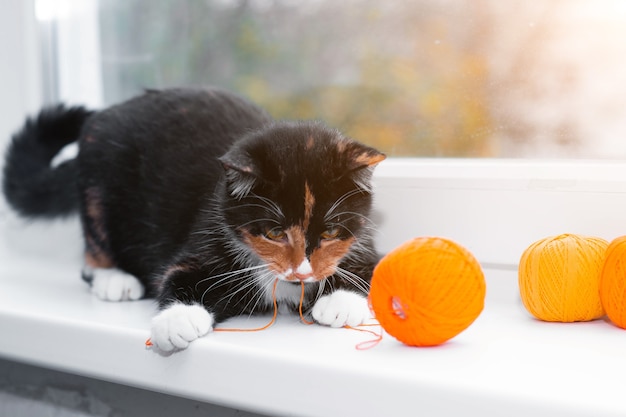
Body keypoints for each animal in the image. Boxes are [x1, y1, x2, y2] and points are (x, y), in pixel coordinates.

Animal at [2, 87, 386, 352]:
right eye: (274, 232)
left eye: (332, 230)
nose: (303, 271)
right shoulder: (207, 233)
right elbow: (179, 274)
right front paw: (178, 319)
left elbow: (374, 266)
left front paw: (340, 302)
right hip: (97, 182)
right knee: (94, 242)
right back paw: (113, 278)